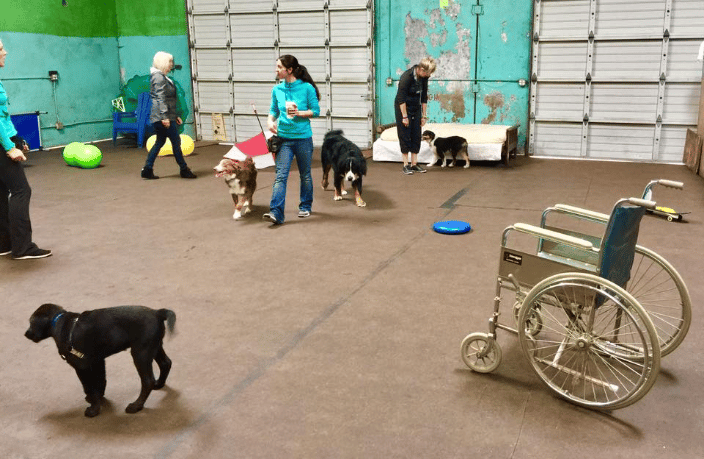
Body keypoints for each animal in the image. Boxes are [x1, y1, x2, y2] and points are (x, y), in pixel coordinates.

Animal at [24, 304, 176, 418]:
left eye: (31, 322)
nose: (26, 334)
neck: (59, 322)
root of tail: (157, 312)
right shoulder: (98, 361)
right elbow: (100, 381)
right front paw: (99, 399)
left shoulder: (81, 366)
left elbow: (89, 386)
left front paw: (93, 409)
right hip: (154, 347)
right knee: (166, 363)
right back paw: (159, 384)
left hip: (141, 353)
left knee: (147, 381)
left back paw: (136, 406)